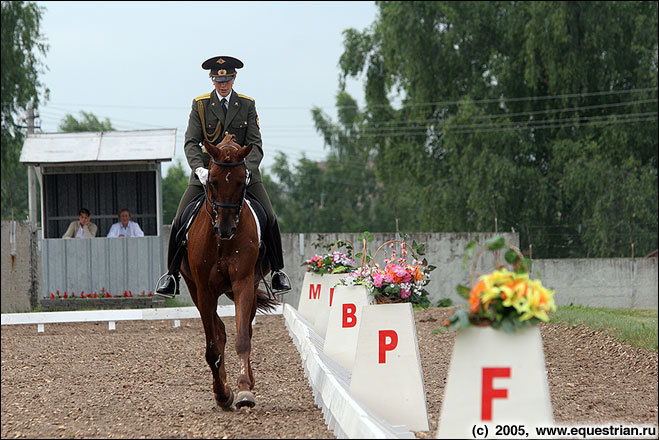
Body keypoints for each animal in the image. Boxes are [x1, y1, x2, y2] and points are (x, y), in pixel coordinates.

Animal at [180, 132, 282, 410]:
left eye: (240, 181)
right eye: (212, 181)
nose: (225, 229)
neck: (221, 242)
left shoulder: (243, 282)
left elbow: (243, 338)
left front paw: (244, 390)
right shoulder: (204, 290)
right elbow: (212, 346)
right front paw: (222, 393)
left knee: (244, 328)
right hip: (196, 290)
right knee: (219, 332)